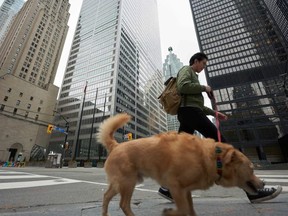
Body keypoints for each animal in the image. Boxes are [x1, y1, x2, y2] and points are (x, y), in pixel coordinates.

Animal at [98, 114, 264, 215]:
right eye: (251, 169)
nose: (263, 183)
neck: (212, 158)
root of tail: (116, 145)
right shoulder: (176, 187)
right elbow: (183, 210)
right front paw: (168, 212)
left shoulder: (186, 191)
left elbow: (190, 210)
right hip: (128, 182)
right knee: (123, 204)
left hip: (121, 183)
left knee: (106, 196)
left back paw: (105, 213)